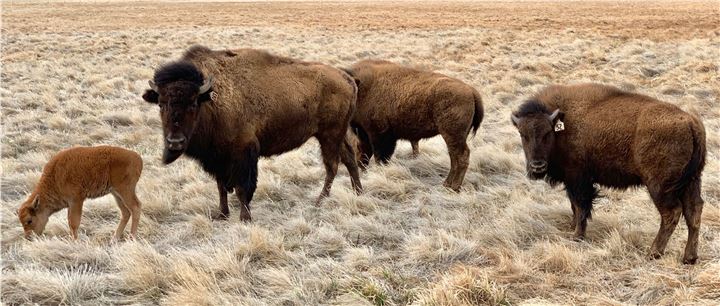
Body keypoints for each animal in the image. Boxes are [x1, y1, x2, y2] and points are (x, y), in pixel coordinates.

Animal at [141, 45, 362, 221]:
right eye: (160, 103)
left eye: (193, 103)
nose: (175, 142)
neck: (212, 98)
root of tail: (347, 78)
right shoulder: (218, 157)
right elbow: (221, 186)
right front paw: (222, 214)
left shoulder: (243, 153)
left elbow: (242, 188)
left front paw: (244, 217)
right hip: (337, 135)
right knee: (350, 159)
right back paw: (358, 192)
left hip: (329, 135)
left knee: (332, 166)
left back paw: (320, 201)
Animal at [344, 59, 484, 191]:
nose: (360, 165)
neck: (363, 89)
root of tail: (471, 91)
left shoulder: (379, 135)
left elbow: (381, 157)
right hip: (455, 136)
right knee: (454, 157)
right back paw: (447, 184)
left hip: (452, 135)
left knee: (461, 156)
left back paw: (453, 187)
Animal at [512, 83, 708, 262]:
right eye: (522, 134)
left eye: (547, 133)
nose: (537, 166)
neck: (563, 125)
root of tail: (690, 122)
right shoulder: (571, 181)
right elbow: (574, 206)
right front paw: (572, 228)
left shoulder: (578, 179)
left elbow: (580, 206)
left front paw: (577, 236)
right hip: (692, 180)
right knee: (694, 211)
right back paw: (689, 257)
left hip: (659, 187)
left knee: (672, 213)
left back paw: (653, 253)